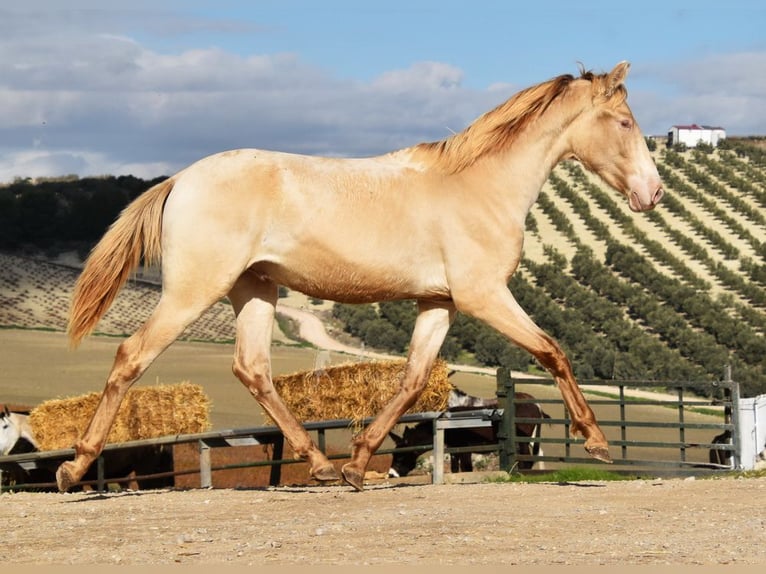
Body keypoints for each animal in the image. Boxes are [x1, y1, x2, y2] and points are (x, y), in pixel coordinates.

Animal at [392, 390, 548, 480]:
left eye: (400, 457)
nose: (391, 475)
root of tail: (536, 405)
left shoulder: (465, 448)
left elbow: (467, 468)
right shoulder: (454, 449)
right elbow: (456, 469)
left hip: (523, 440)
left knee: (526, 459)